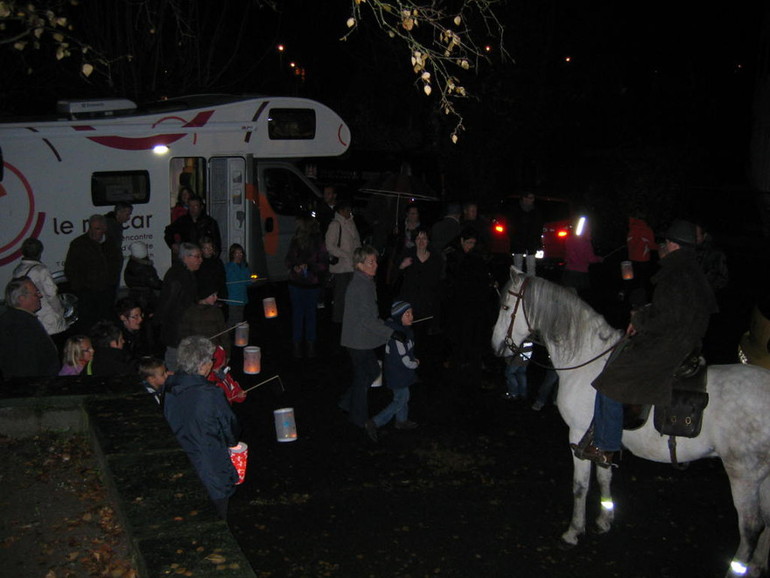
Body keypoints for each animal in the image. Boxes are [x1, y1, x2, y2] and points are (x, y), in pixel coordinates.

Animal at [492, 270, 768, 576]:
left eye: (506, 307)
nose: (496, 346)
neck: (586, 361)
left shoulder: (577, 434)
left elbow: (580, 486)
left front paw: (573, 531)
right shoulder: (600, 440)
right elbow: (604, 477)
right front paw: (604, 520)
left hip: (743, 473)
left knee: (751, 527)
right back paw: (758, 564)